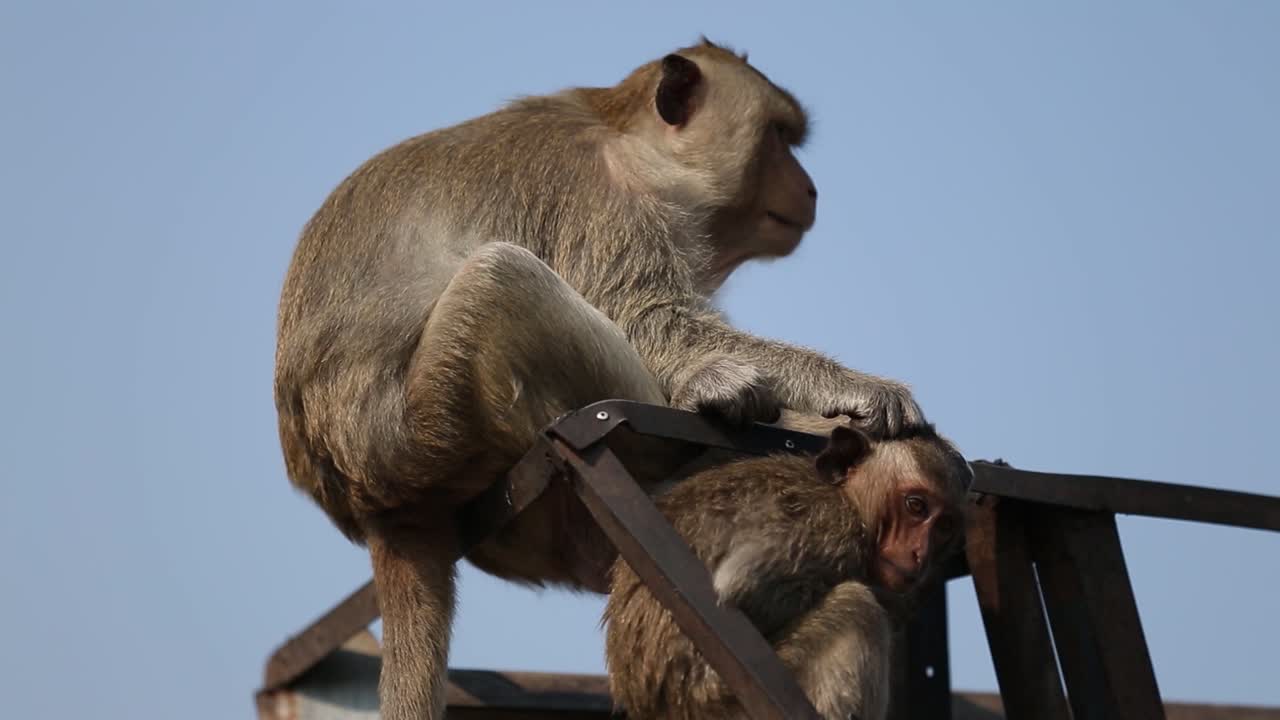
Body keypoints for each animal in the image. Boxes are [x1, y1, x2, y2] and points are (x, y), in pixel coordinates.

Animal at [274, 39, 928, 719]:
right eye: (777, 136)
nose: (809, 188)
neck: (633, 143)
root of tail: (373, 503)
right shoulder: (605, 199)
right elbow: (651, 319)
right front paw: (851, 389)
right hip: (434, 424)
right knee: (500, 281)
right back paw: (710, 403)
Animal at [603, 423, 970, 720]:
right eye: (916, 506)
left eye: (945, 526)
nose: (920, 554)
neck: (848, 500)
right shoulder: (829, 527)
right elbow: (743, 587)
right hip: (727, 706)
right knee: (856, 606)